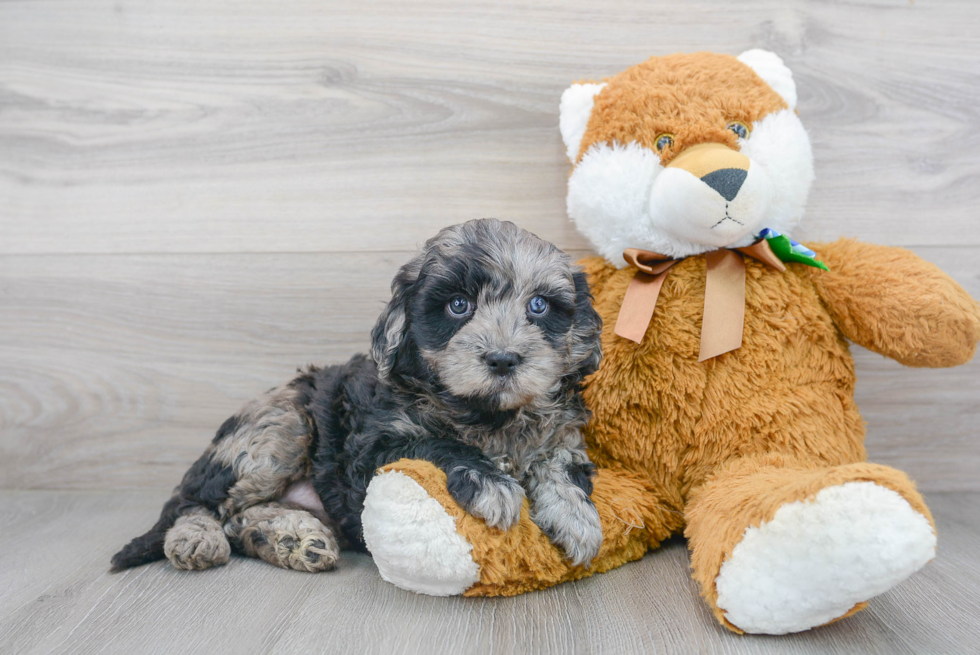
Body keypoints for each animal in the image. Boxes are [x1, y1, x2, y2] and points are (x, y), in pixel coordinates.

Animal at [115, 219, 604, 576]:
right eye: (458, 305)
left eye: (539, 306)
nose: (503, 360)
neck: (488, 415)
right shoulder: (372, 448)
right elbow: (438, 444)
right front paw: (490, 482)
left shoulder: (561, 435)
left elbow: (560, 464)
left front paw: (575, 516)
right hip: (280, 426)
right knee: (193, 502)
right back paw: (197, 537)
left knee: (239, 517)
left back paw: (288, 538)